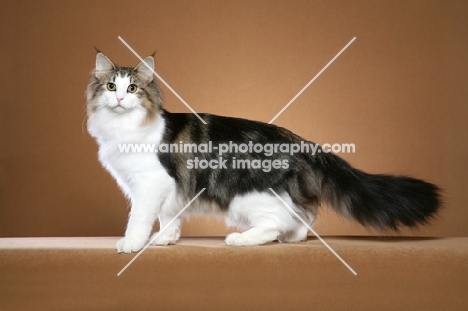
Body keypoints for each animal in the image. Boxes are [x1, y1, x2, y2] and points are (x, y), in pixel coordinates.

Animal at [86, 52, 440, 255]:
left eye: (132, 89)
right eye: (110, 87)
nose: (119, 99)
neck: (124, 127)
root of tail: (301, 142)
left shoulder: (150, 184)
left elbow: (139, 219)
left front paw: (132, 244)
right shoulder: (170, 189)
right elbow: (169, 216)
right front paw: (165, 240)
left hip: (245, 195)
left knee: (279, 221)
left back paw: (242, 240)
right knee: (303, 215)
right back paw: (292, 238)